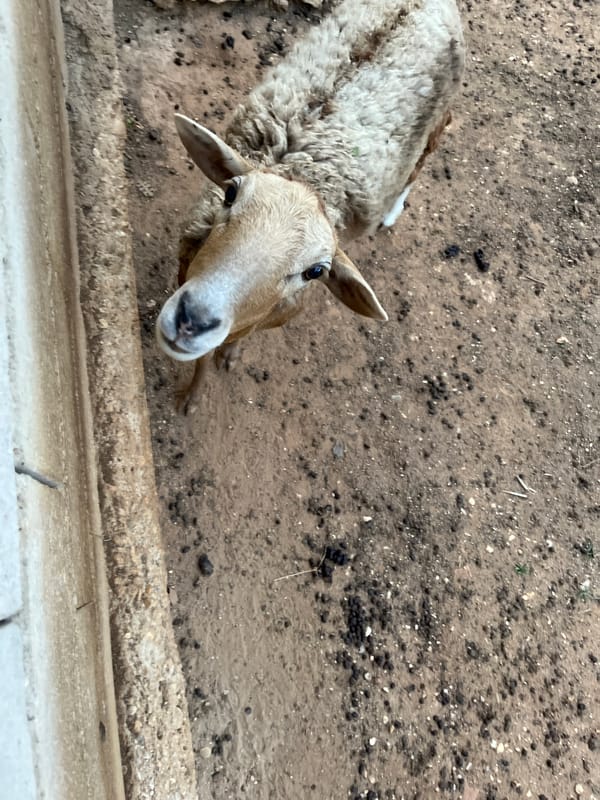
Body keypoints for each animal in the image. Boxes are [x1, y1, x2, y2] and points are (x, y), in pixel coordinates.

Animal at [156, 0, 465, 410]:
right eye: (230, 193)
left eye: (315, 271)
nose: (192, 319)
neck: (304, 173)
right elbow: (204, 357)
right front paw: (193, 393)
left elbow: (236, 340)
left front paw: (228, 358)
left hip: (439, 111)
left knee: (429, 147)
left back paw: (392, 208)